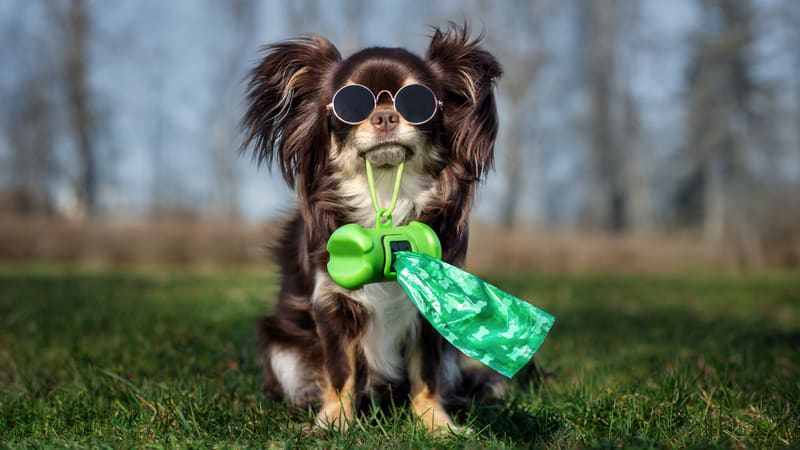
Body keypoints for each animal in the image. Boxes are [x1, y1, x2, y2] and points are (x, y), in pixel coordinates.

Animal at [242, 24, 506, 432]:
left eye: (418, 102)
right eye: (349, 106)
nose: (384, 117)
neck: (383, 195)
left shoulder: (431, 306)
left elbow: (426, 373)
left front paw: (436, 424)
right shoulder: (331, 303)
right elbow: (341, 371)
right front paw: (334, 422)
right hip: (280, 341)